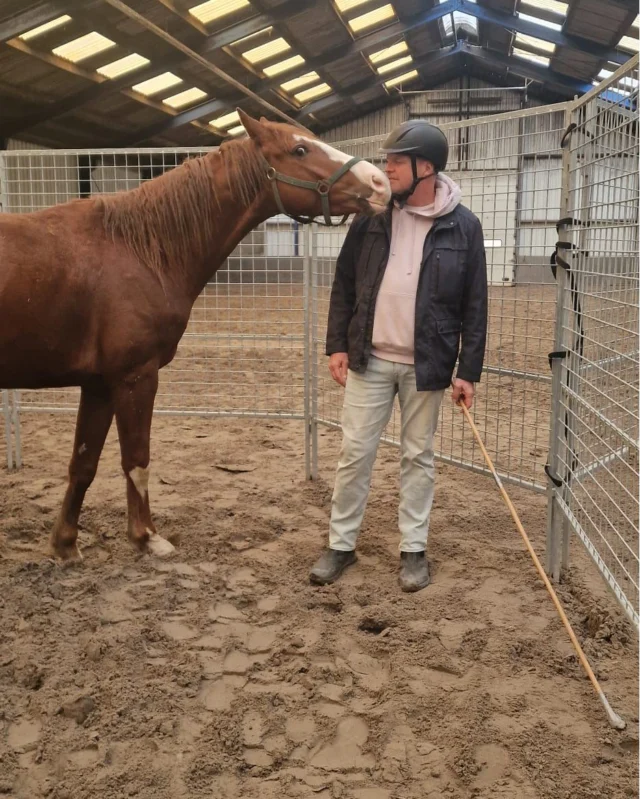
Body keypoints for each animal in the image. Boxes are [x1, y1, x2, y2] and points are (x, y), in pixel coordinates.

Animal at [0, 109, 391, 561]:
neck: (139, 249)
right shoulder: (135, 377)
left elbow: (83, 463)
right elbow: (137, 459)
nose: (380, 183)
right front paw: (147, 537)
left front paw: (65, 544)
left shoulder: (98, 384)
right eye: (299, 149)